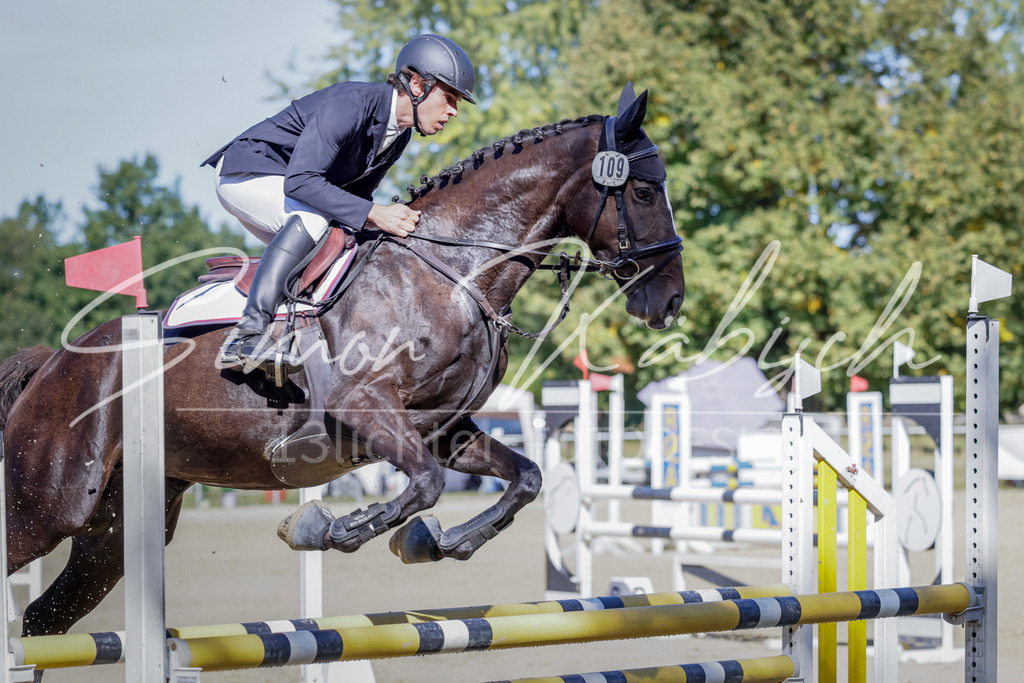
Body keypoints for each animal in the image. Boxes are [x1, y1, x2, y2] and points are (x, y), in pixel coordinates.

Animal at [0, 83, 684, 642]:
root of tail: (54, 363)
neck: (452, 272)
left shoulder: (441, 428)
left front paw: (442, 544)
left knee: (42, 619)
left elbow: (526, 478)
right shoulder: (365, 408)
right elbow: (425, 486)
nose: (670, 301)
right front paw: (329, 529)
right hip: (47, 504)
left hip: (110, 530)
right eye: (644, 190)